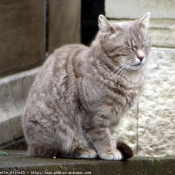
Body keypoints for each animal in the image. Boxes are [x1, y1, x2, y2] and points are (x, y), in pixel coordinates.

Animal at [21, 11, 150, 160]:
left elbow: (112, 135)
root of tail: (30, 146)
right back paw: (83, 150)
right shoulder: (94, 114)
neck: (129, 78)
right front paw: (108, 151)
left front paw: (113, 148)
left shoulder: (115, 118)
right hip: (57, 130)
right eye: (129, 47)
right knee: (56, 150)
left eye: (144, 45)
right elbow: (101, 136)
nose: (141, 57)